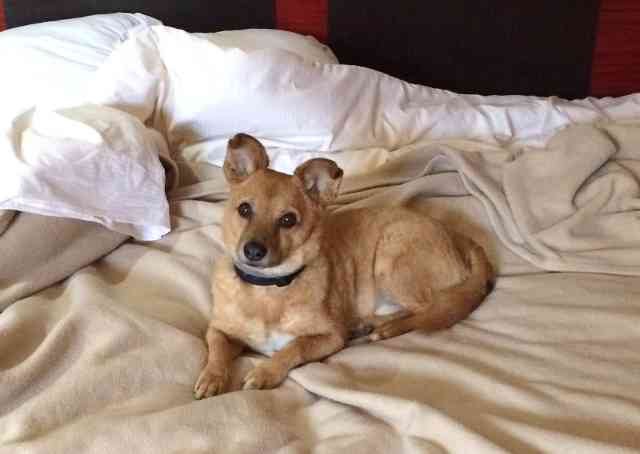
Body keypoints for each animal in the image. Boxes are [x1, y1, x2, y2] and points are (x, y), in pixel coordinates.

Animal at [195, 133, 496, 400]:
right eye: (244, 210)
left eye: (288, 220)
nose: (253, 251)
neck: (267, 288)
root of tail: (458, 238)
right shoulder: (219, 329)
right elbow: (216, 350)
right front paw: (211, 378)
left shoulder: (329, 337)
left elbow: (293, 348)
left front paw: (265, 372)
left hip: (392, 258)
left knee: (429, 309)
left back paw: (383, 327)